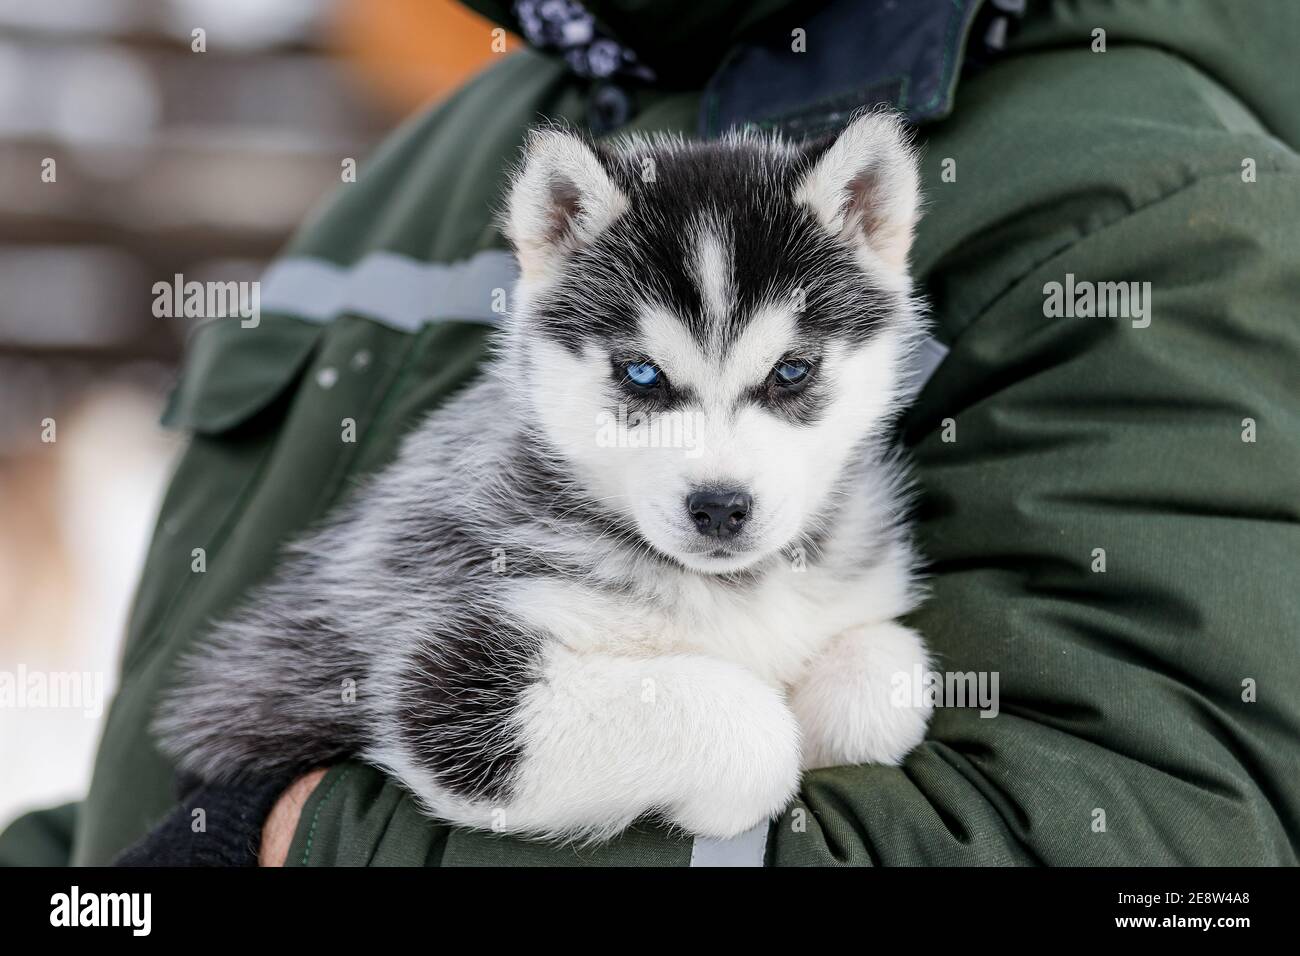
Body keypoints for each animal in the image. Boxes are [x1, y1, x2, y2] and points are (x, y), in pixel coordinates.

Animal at [159, 111, 935, 842]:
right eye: (642, 374)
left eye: (791, 371)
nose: (719, 507)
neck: (729, 591)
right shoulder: (445, 677)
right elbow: (744, 725)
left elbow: (887, 682)